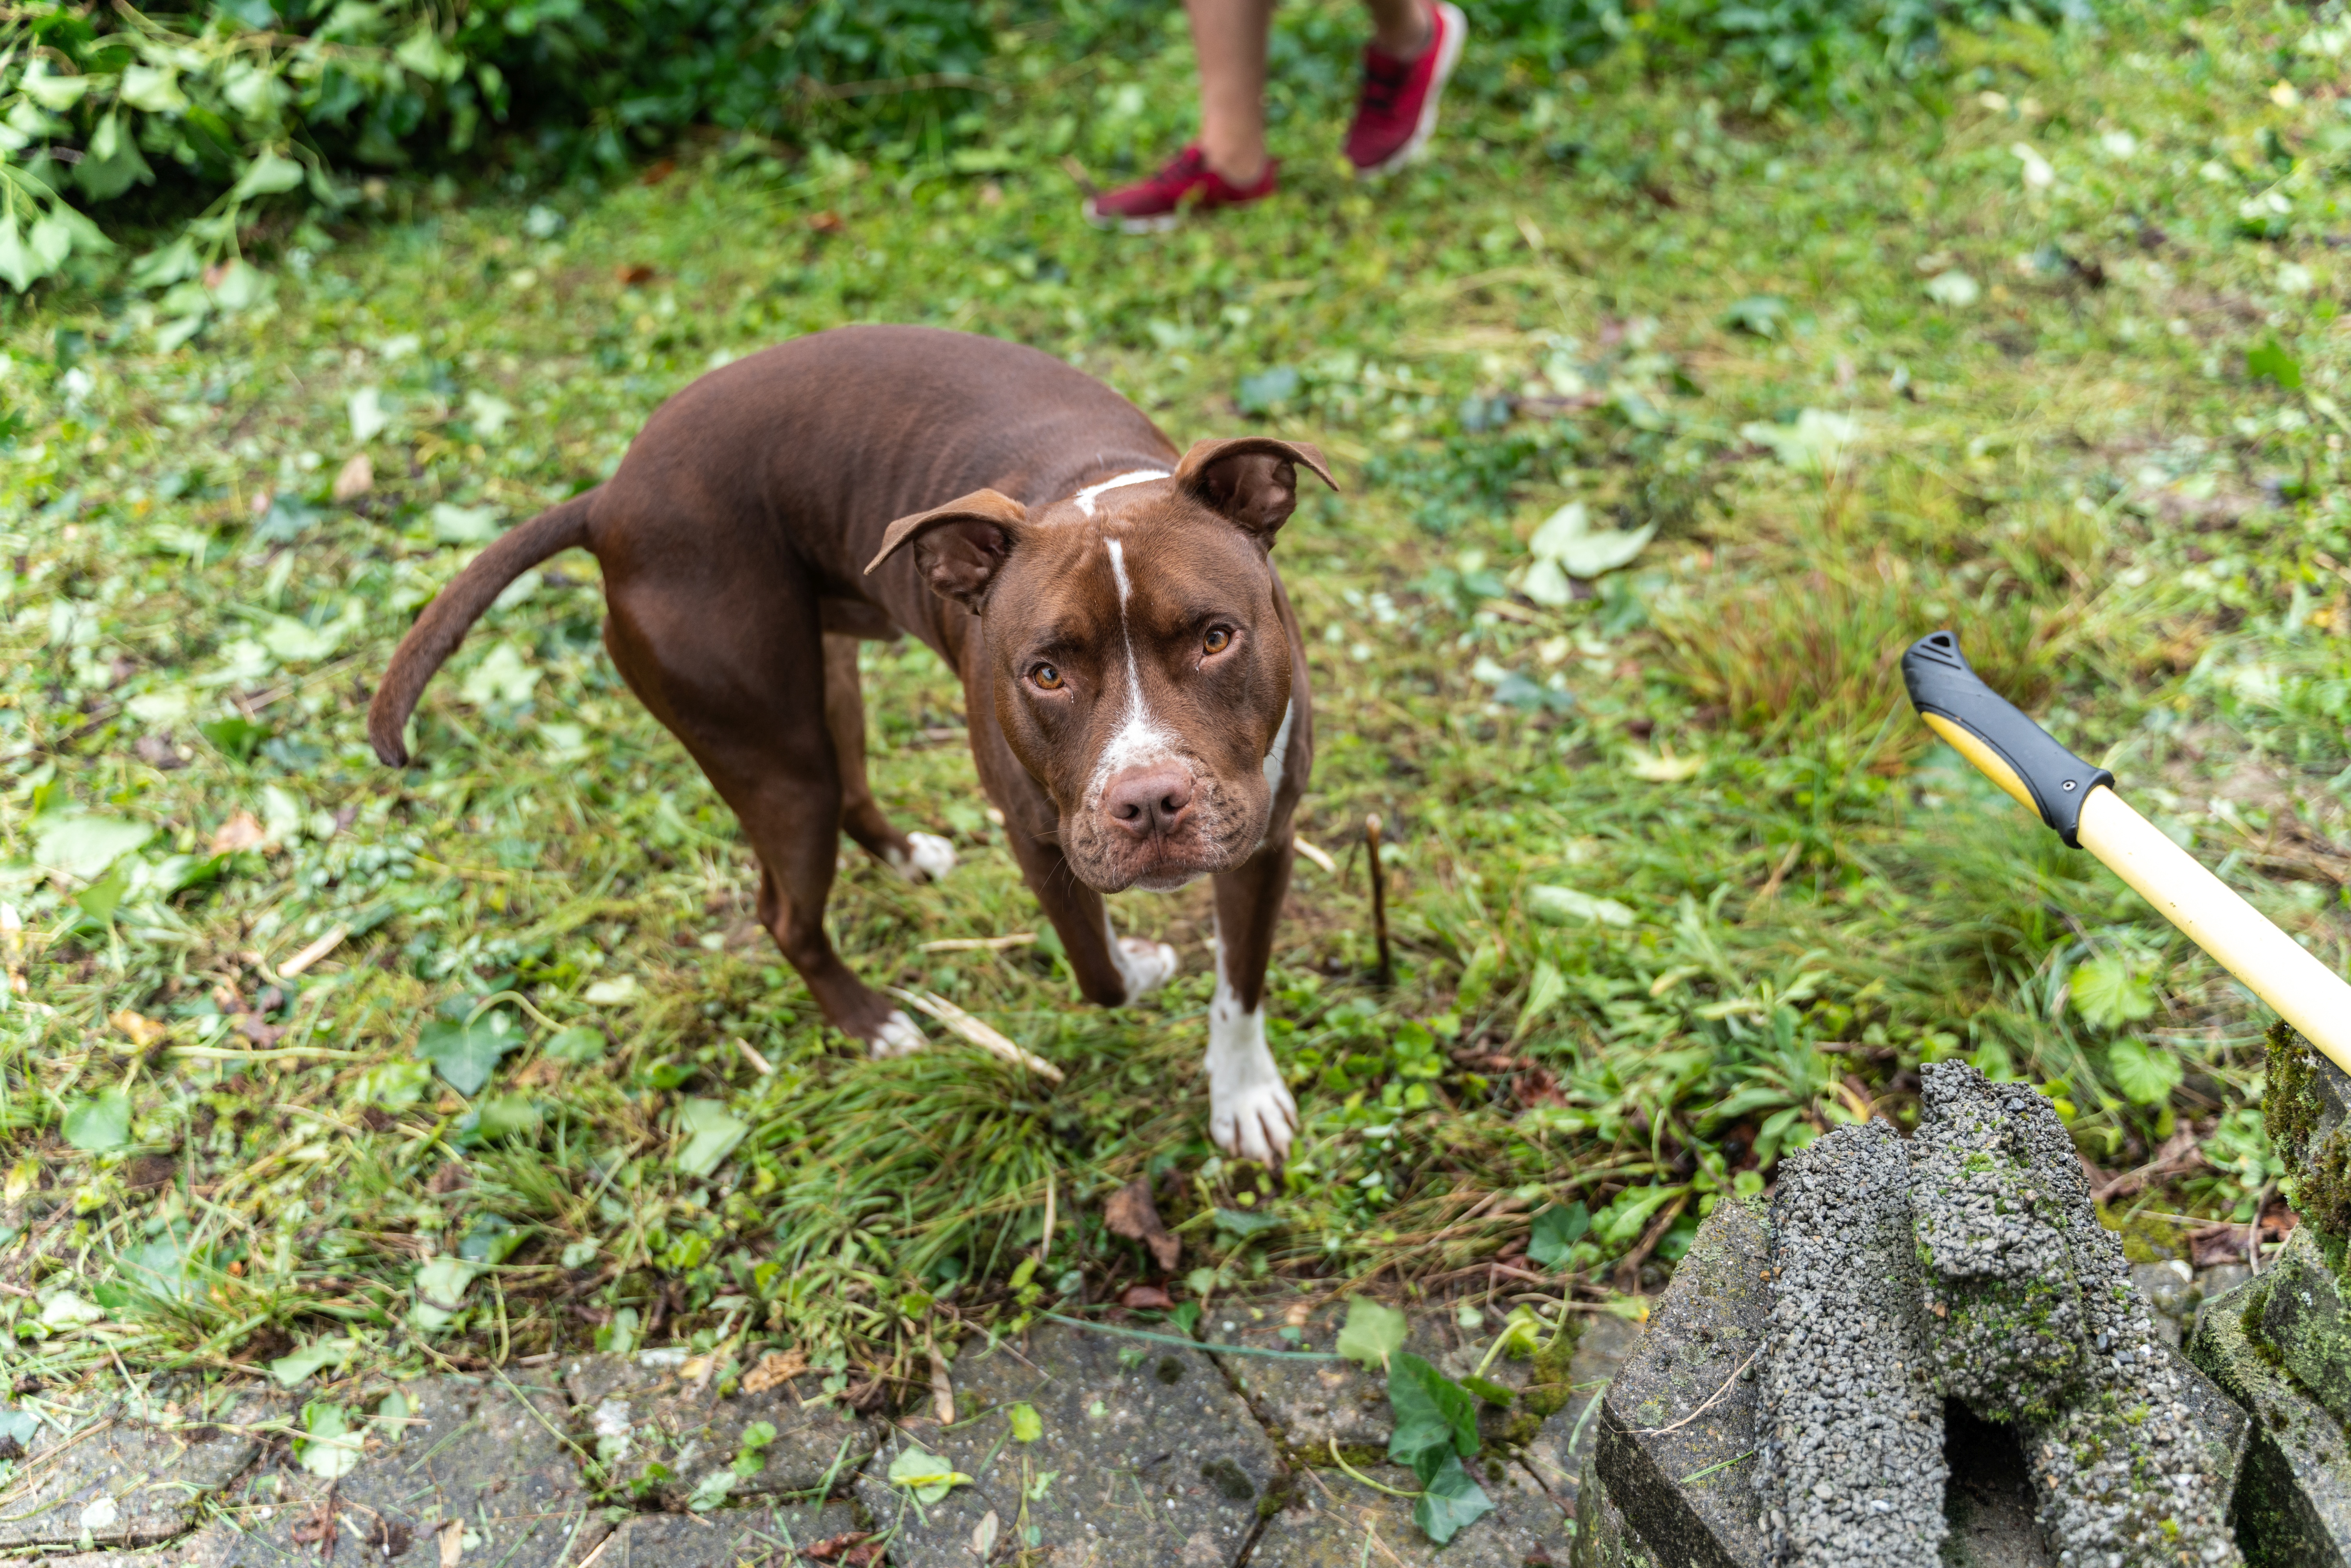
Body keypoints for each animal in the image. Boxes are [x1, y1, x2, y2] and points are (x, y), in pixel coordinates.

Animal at [367, 329, 1326, 1166]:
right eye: (1047, 674)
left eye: (1215, 638)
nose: (1150, 802)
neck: (1094, 485)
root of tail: (607, 499)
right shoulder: (1043, 839)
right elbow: (1102, 975)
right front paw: (1147, 965)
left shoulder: (1266, 836)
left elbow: (1242, 985)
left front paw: (1242, 1096)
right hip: (776, 755)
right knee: (786, 912)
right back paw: (875, 1023)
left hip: (825, 684)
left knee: (850, 787)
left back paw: (906, 857)